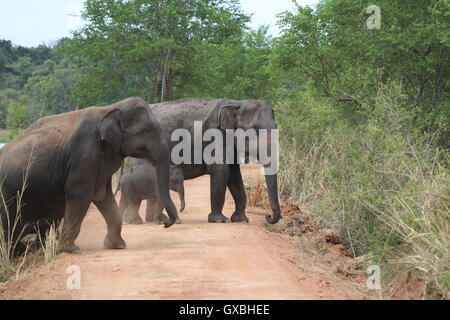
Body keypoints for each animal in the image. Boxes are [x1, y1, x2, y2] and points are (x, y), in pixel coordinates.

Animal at [0, 96, 179, 254]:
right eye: (147, 131)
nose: (165, 223)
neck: (110, 108)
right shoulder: (83, 156)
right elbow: (81, 196)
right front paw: (71, 250)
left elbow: (103, 196)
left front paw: (117, 246)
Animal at [148, 97, 282, 225]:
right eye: (255, 130)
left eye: (276, 127)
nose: (268, 216)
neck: (236, 103)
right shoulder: (214, 135)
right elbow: (221, 171)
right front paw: (219, 220)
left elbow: (235, 176)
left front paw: (241, 220)